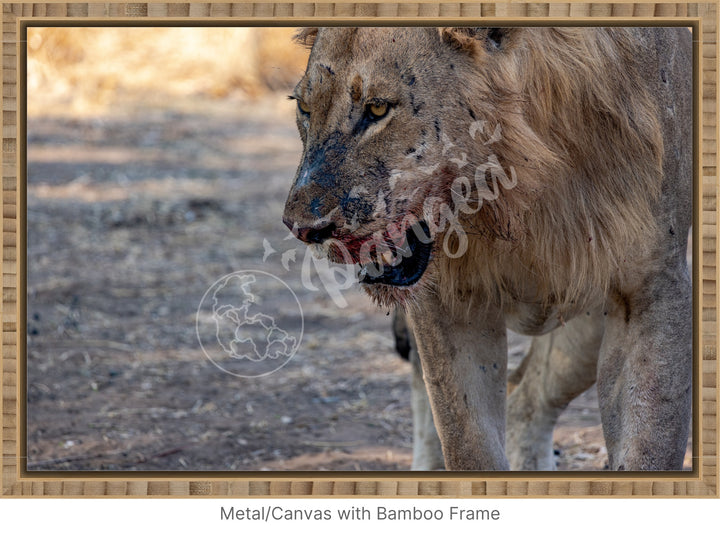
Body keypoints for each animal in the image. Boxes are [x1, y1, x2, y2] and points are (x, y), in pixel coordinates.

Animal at [282, 26, 692, 468]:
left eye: (377, 109)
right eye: (304, 107)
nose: (302, 228)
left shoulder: (652, 287)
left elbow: (649, 444)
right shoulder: (449, 301)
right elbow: (468, 444)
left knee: (526, 398)